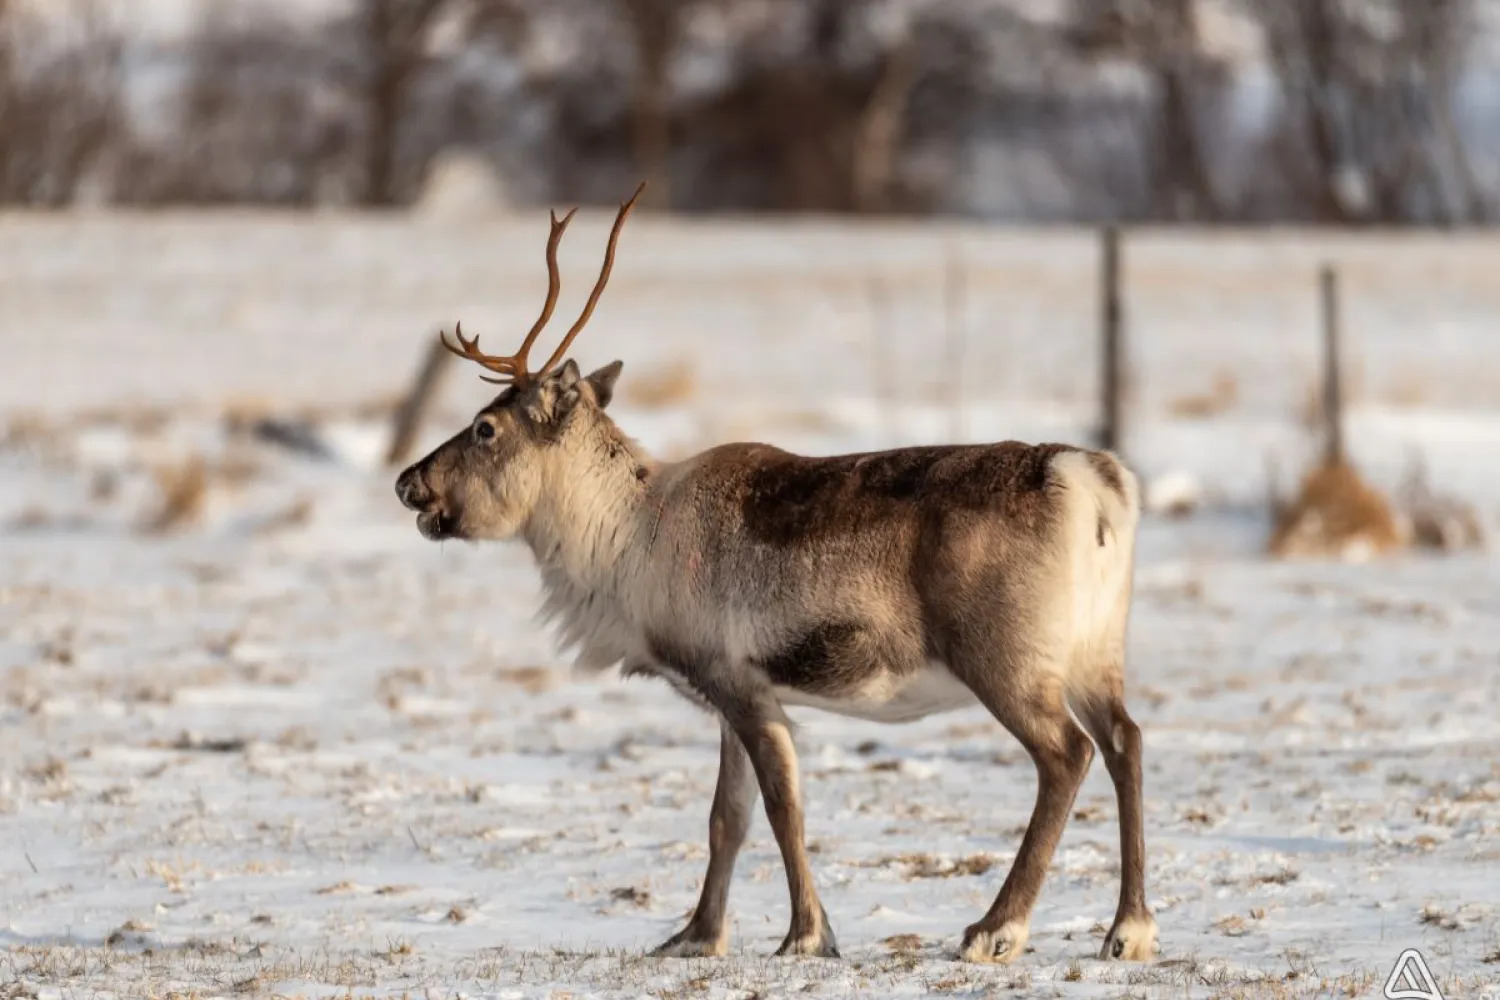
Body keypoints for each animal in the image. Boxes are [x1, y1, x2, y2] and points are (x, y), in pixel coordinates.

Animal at [394, 182, 1159, 966]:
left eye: (485, 428)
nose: (407, 483)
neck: (628, 539)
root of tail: (1095, 482)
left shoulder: (737, 681)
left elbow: (781, 807)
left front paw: (805, 935)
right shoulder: (731, 693)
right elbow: (725, 819)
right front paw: (694, 935)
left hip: (1004, 656)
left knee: (1067, 754)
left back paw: (995, 928)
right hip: (1097, 650)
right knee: (1126, 740)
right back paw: (1127, 929)